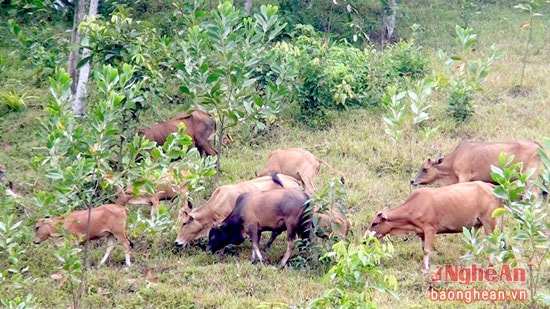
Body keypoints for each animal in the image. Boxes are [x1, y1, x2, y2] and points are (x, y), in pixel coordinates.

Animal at [368, 180, 502, 272]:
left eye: (375, 223)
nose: (366, 240)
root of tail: (490, 186)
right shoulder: (422, 233)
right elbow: (424, 249)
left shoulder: (430, 229)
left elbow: (427, 250)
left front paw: (425, 269)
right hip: (476, 224)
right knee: (472, 242)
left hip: (489, 221)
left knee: (493, 243)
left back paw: (490, 264)